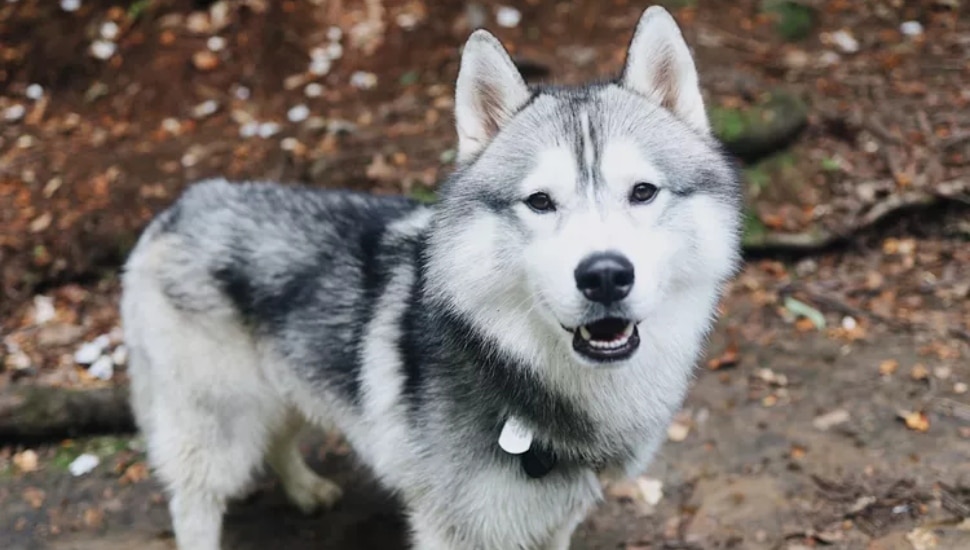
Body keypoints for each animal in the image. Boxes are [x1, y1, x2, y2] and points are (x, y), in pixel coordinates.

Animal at [121, 5, 740, 550]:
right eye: (540, 201)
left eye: (643, 192)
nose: (605, 275)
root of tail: (178, 207)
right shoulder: (451, 530)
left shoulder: (553, 522)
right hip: (217, 434)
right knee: (195, 503)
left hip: (282, 386)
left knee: (281, 438)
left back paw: (307, 490)